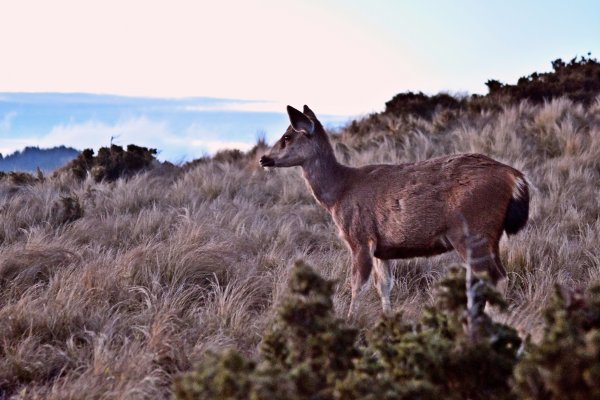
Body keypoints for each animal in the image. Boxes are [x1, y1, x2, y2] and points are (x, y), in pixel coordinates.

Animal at [258, 104, 528, 318]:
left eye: (287, 137)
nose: (263, 159)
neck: (338, 193)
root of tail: (515, 177)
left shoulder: (359, 238)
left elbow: (358, 286)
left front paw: (350, 321)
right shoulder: (382, 249)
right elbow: (385, 286)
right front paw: (388, 321)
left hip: (472, 231)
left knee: (495, 278)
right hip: (490, 236)